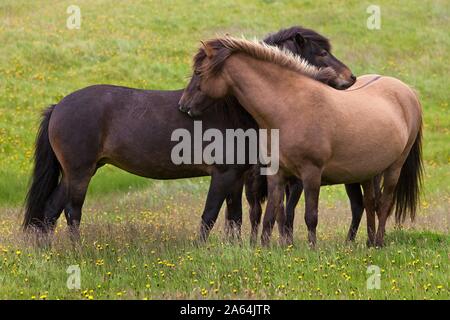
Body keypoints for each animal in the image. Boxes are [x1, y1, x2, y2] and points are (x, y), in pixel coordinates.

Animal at [24, 26, 360, 242]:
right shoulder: (223, 174)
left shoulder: (237, 176)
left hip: (78, 172)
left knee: (50, 212)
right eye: (321, 53)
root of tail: (59, 106)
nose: (351, 78)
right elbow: (210, 215)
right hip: (80, 172)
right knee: (71, 211)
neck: (233, 107)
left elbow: (234, 218)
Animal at [179, 37, 422, 248]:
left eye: (198, 72)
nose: (184, 105)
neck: (290, 107)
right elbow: (271, 215)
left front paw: (311, 249)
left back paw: (378, 242)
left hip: (394, 168)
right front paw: (264, 248)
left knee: (384, 204)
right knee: (370, 203)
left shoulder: (310, 173)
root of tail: (408, 92)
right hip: (367, 172)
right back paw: (369, 243)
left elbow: (309, 216)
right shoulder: (276, 174)